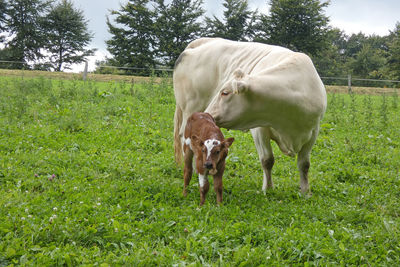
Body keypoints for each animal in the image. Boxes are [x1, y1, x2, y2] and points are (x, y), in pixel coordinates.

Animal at [173, 37, 326, 194]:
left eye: (225, 92)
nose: (208, 113)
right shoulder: (259, 129)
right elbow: (267, 160)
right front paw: (268, 189)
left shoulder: (314, 131)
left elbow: (304, 164)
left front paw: (305, 191)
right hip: (190, 109)